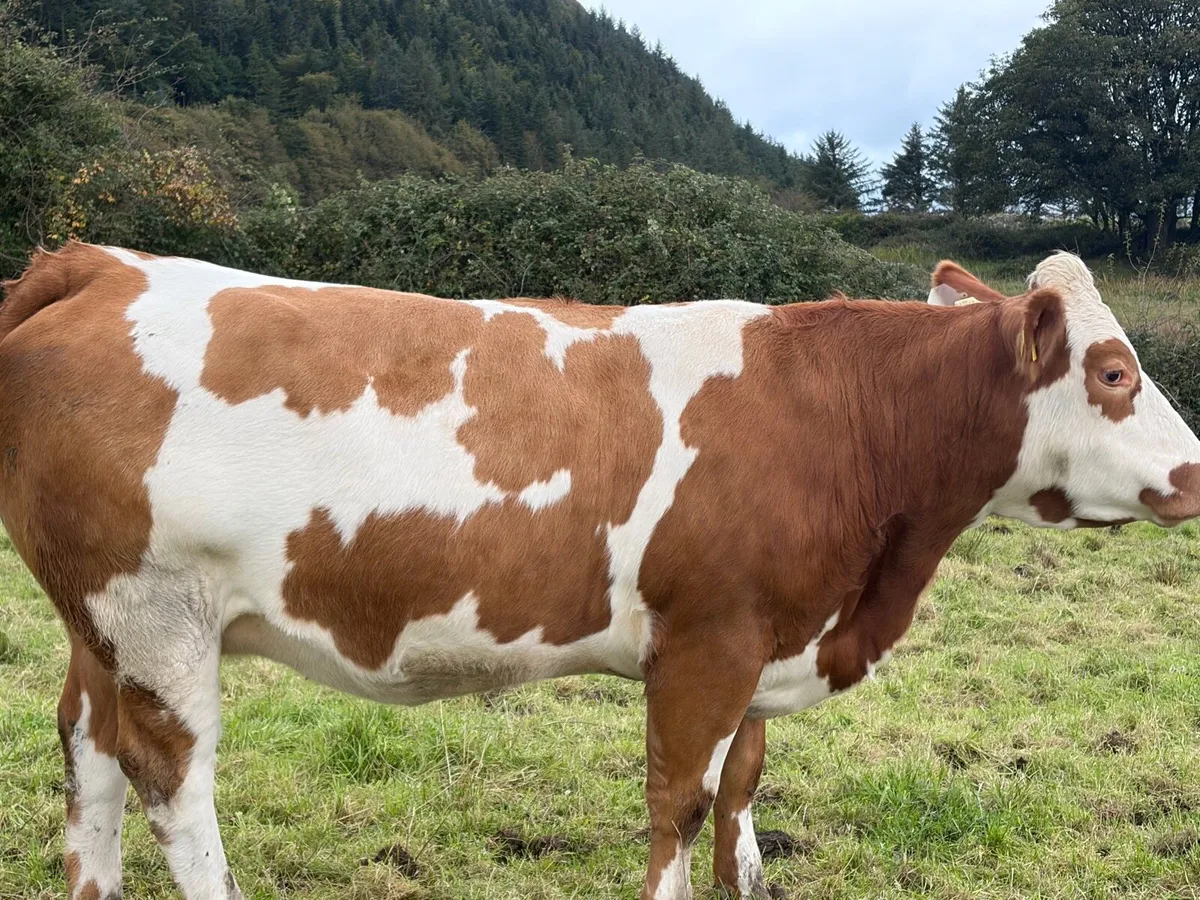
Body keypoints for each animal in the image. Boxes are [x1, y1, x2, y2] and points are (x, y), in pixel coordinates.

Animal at [1, 242, 1198, 900]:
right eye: (1113, 371)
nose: (1195, 472)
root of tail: (100, 266)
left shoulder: (763, 636)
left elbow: (742, 787)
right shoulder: (708, 641)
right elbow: (681, 802)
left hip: (102, 624)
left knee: (87, 751)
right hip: (158, 615)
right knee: (170, 779)